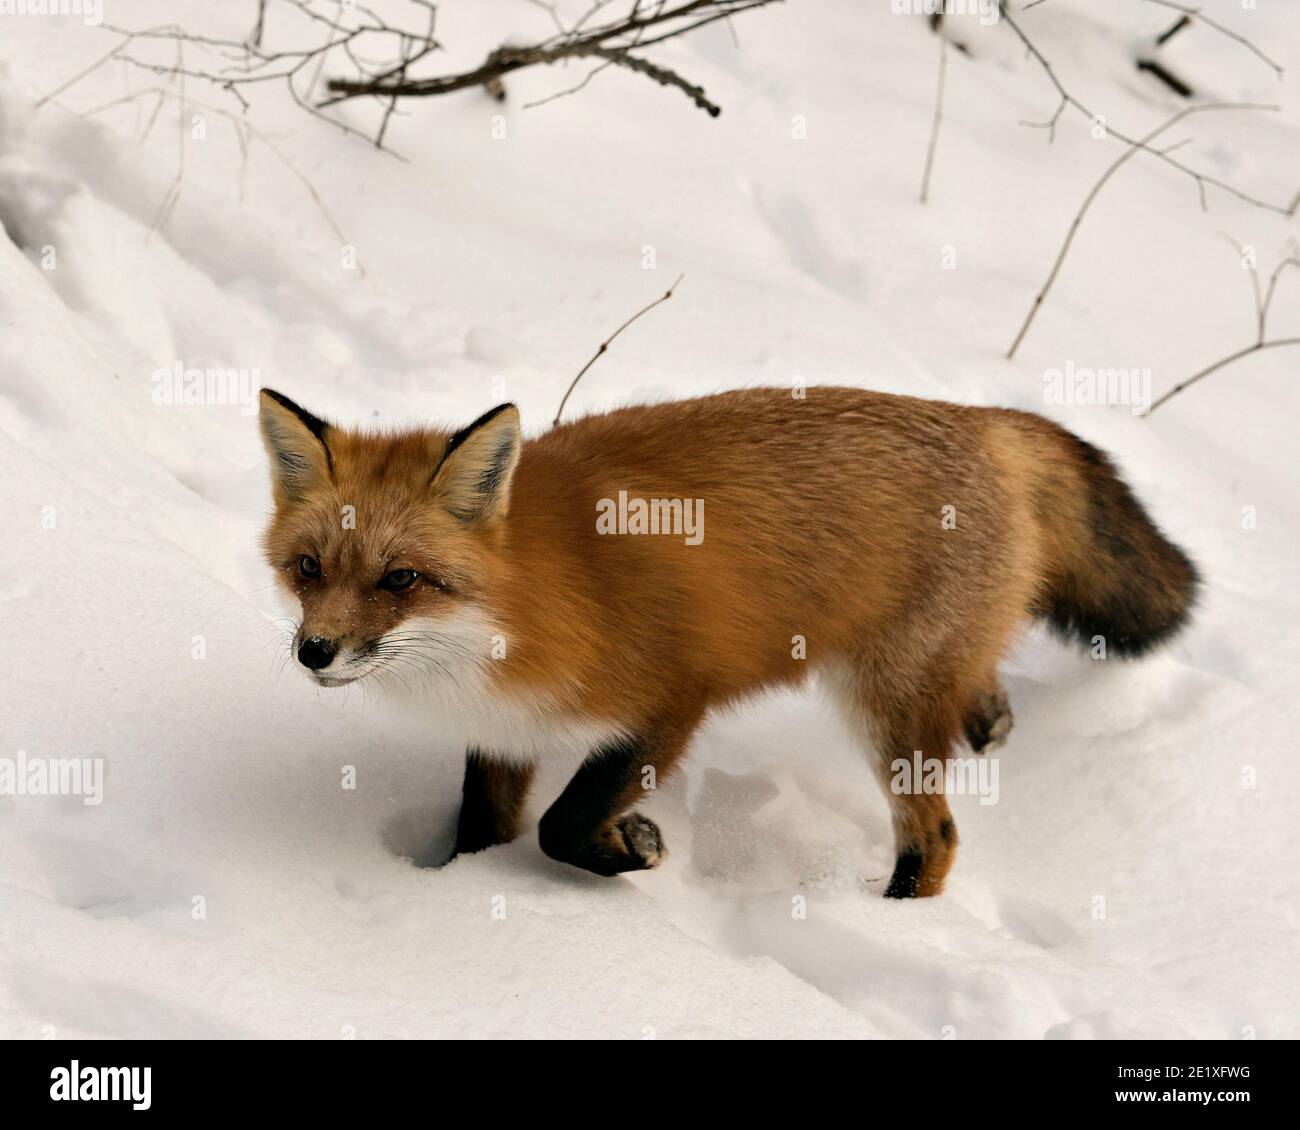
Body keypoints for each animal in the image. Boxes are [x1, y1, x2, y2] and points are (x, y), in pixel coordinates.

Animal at [256, 382, 1196, 894]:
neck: (524, 603)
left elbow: (562, 825)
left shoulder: (669, 701)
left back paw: (888, 913)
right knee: (977, 706)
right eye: (308, 568)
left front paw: (628, 850)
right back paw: (990, 719)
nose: (314, 652)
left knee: (937, 838)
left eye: (400, 579)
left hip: (885, 705)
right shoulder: (506, 729)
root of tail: (981, 418)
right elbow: (484, 829)